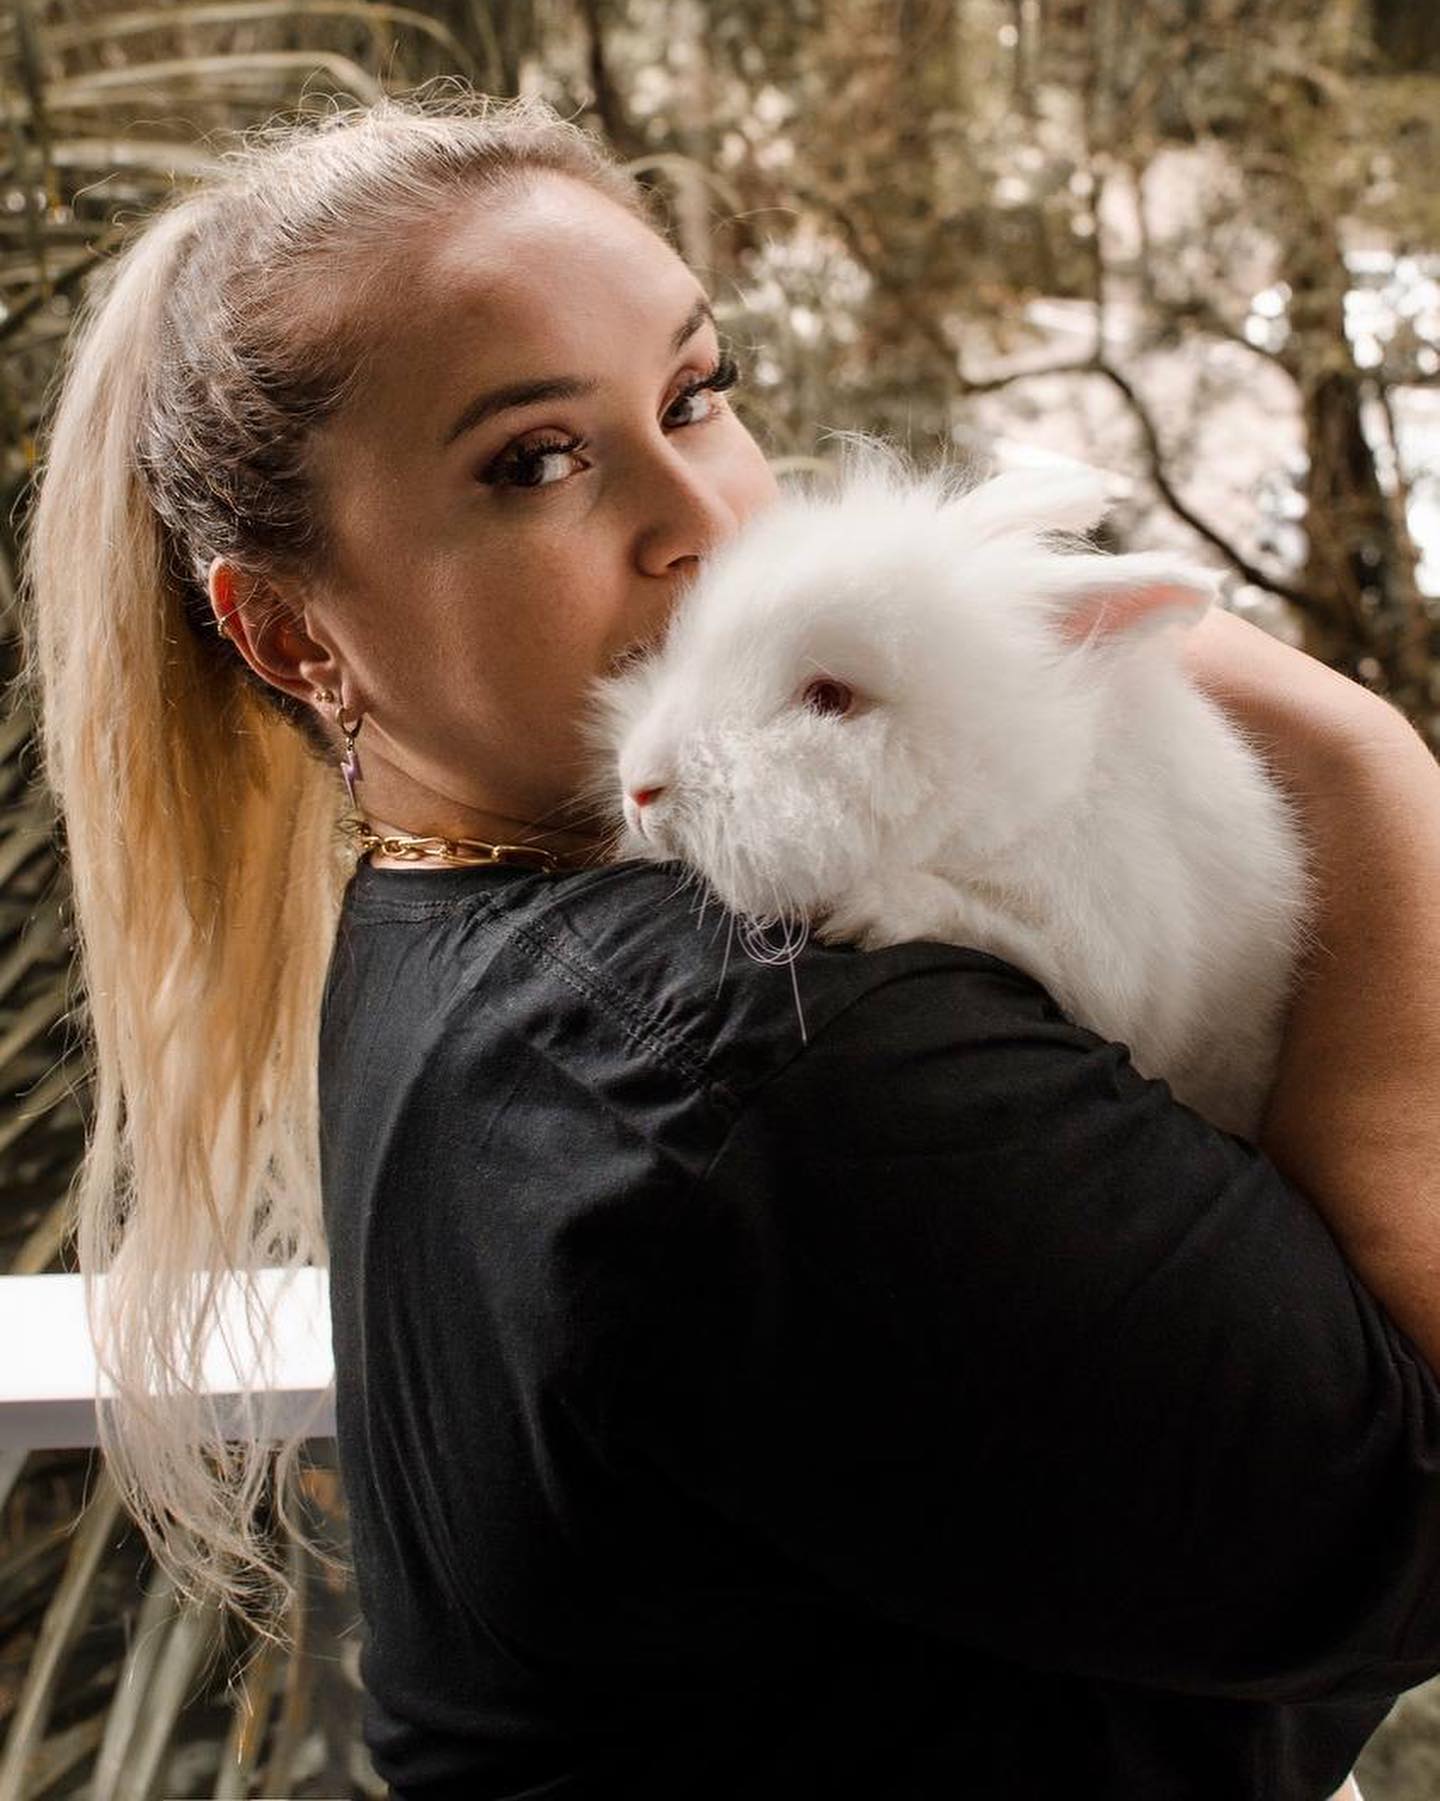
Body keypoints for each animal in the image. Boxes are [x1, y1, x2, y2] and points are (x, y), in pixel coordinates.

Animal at [574, 437, 1320, 1142]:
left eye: (830, 697)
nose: (640, 788)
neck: (1010, 793)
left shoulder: (1106, 950)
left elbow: (1006, 931)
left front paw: (868, 911)